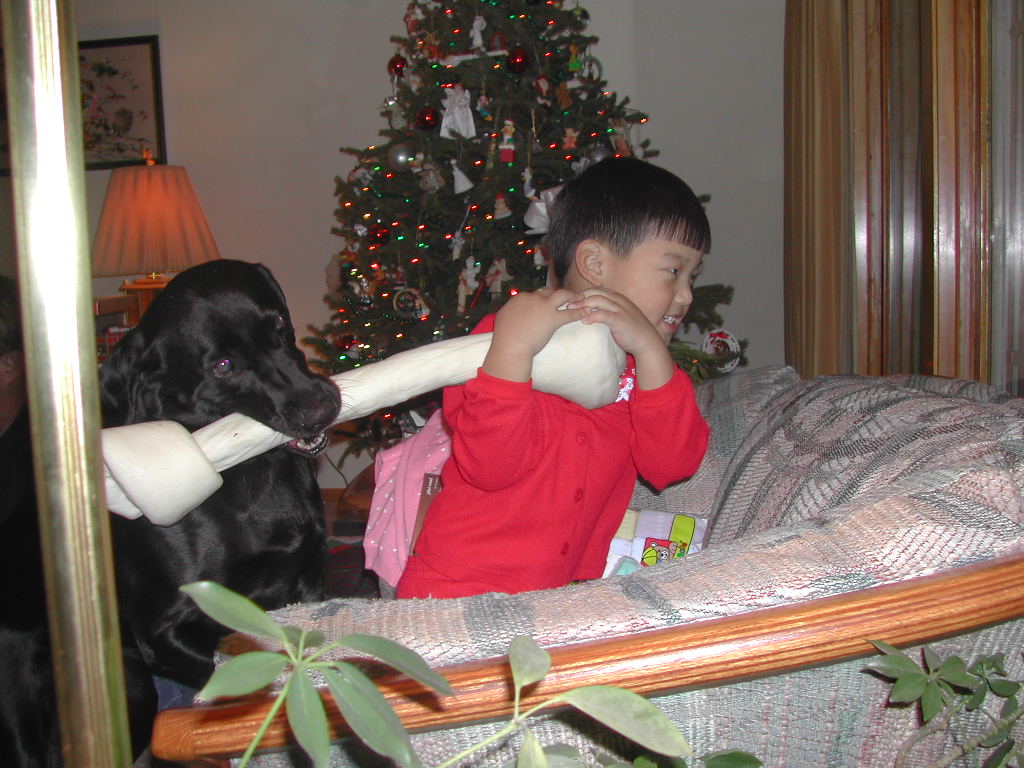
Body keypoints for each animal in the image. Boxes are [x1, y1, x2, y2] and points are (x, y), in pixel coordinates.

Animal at [99, 259, 340, 759]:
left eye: (279, 324)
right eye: (223, 366)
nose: (322, 409)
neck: (248, 476)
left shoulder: (307, 583)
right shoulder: (162, 632)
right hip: (134, 686)